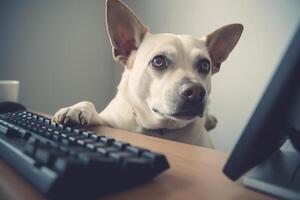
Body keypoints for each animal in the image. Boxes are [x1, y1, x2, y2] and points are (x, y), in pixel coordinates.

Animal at [52, 0, 243, 148]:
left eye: (205, 65)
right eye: (158, 61)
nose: (196, 91)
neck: (159, 129)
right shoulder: (107, 120)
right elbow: (90, 105)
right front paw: (77, 108)